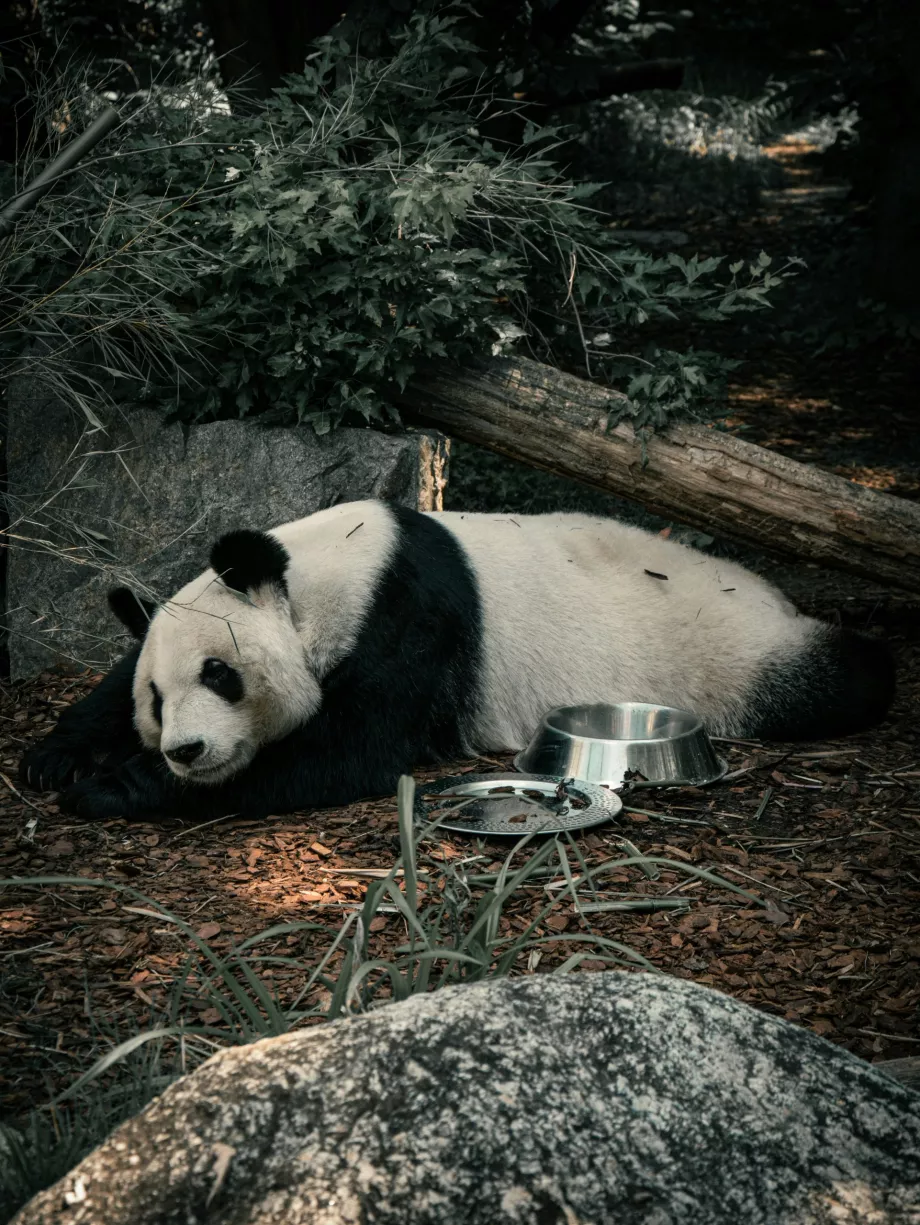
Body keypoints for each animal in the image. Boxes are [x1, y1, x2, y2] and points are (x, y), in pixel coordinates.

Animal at [21, 497, 896, 823]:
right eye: (156, 699)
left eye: (219, 674)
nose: (186, 749)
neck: (326, 571)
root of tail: (774, 597)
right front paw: (55, 755)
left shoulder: (409, 620)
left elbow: (349, 751)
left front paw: (117, 784)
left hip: (735, 653)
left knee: (833, 678)